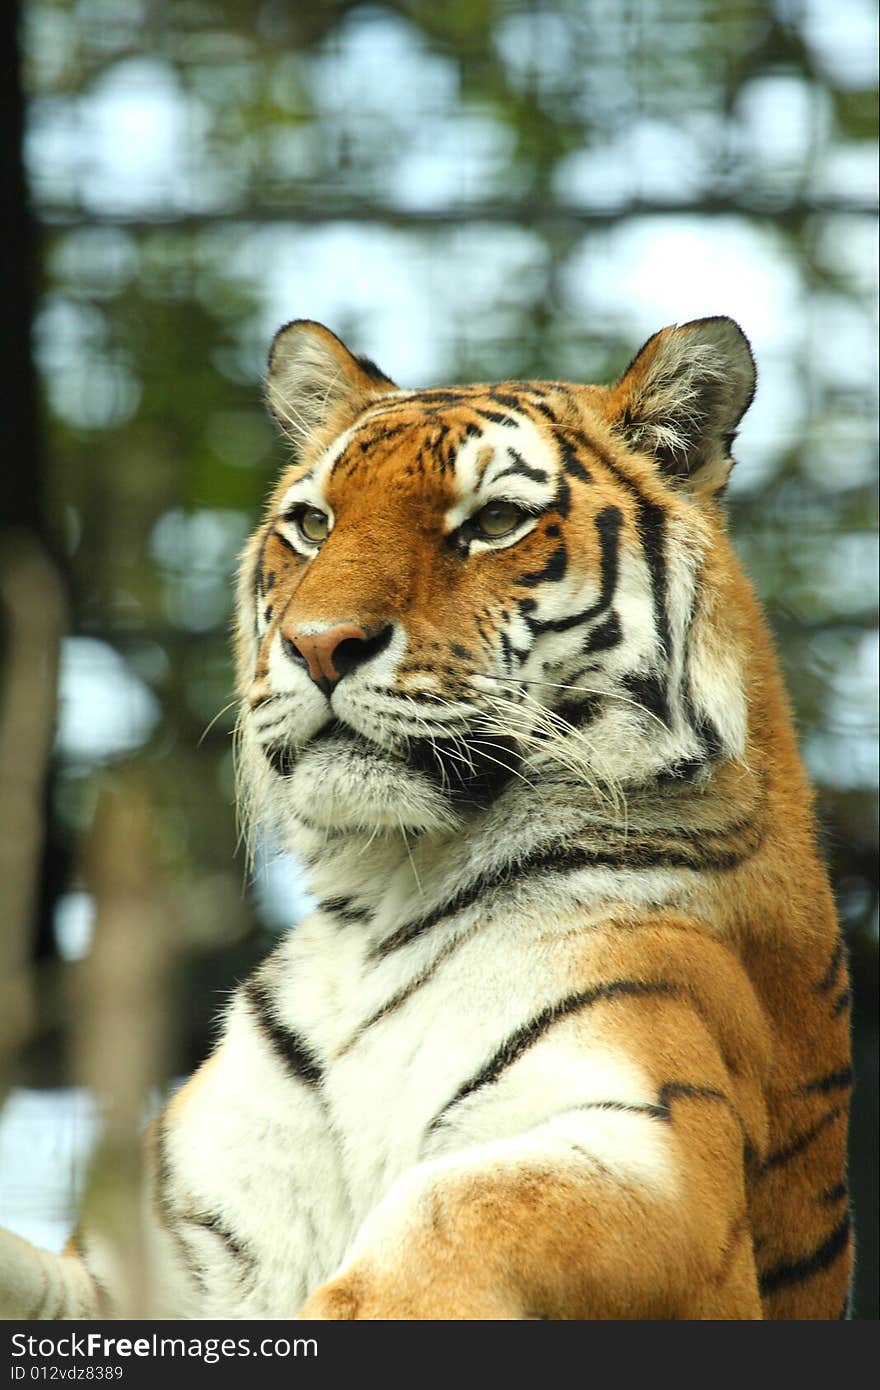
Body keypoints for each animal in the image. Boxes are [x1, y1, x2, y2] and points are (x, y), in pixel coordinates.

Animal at [1, 309, 850, 1317]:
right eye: (314, 524)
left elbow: (462, 1206)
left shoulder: (655, 1149)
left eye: (493, 524)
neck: (382, 895)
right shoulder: (147, 1253)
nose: (318, 645)